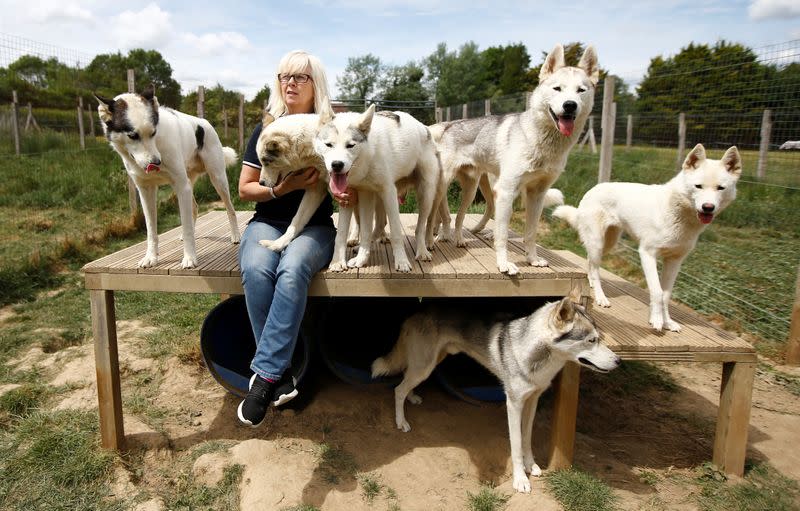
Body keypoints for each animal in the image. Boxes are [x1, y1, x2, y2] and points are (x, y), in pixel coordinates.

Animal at [95, 85, 239, 268]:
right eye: (133, 135)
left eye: (153, 132)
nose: (156, 162)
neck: (157, 144)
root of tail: (204, 123)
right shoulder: (146, 190)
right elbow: (151, 230)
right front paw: (151, 257)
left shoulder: (181, 185)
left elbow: (186, 226)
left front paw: (189, 258)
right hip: (187, 183)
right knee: (194, 208)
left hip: (217, 179)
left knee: (230, 208)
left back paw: (235, 236)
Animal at [314, 103, 444, 272]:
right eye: (329, 145)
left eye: (350, 145)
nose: (337, 165)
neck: (370, 155)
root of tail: (424, 127)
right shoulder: (358, 196)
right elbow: (345, 234)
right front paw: (344, 262)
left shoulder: (388, 192)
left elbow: (396, 232)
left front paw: (402, 262)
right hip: (377, 199)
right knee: (380, 224)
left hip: (425, 194)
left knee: (421, 227)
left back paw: (423, 250)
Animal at [372, 288, 620, 492]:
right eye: (591, 340)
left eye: (599, 338)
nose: (618, 361)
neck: (536, 355)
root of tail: (416, 313)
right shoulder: (514, 404)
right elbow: (516, 444)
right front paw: (520, 480)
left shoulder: (532, 401)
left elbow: (527, 438)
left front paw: (532, 465)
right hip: (424, 367)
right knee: (398, 389)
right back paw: (401, 421)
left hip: (429, 363)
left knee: (406, 381)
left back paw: (413, 397)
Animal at [432, 44, 592, 276]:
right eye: (557, 89)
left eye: (581, 90)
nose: (570, 105)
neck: (540, 141)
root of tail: (450, 125)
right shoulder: (509, 191)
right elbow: (501, 234)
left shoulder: (536, 194)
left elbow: (529, 233)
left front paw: (531, 260)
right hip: (473, 186)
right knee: (465, 214)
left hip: (480, 187)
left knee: (468, 216)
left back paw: (464, 238)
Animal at [552, 146, 740, 334]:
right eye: (698, 186)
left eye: (720, 188)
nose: (708, 207)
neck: (680, 215)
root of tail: (593, 189)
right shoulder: (647, 254)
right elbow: (657, 292)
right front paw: (656, 320)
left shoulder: (674, 261)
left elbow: (666, 295)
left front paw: (668, 322)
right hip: (598, 243)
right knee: (596, 268)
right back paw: (601, 297)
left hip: (608, 244)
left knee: (591, 262)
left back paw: (590, 283)